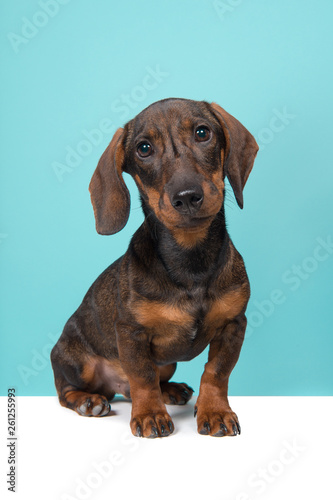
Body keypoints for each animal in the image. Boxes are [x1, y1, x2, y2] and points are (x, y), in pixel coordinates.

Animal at [50, 97, 256, 438]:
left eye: (203, 132)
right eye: (144, 148)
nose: (187, 196)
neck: (190, 261)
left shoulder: (234, 325)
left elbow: (216, 373)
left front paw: (215, 411)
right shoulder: (132, 333)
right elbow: (143, 377)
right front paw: (149, 415)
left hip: (168, 363)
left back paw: (172, 390)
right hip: (79, 363)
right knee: (66, 390)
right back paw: (88, 401)